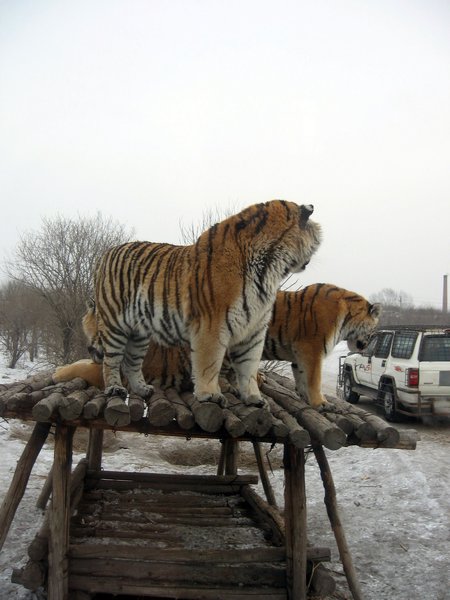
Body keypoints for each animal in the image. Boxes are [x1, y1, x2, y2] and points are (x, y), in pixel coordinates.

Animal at [54, 284, 382, 410]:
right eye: (376, 330)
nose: (369, 345)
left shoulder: (303, 354)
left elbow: (303, 378)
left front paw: (308, 399)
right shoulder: (311, 349)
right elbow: (311, 379)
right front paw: (319, 402)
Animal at [86, 203, 322, 408]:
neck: (271, 269)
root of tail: (107, 252)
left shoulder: (253, 330)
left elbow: (249, 367)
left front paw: (254, 398)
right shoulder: (212, 324)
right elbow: (209, 364)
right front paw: (210, 395)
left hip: (139, 332)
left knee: (131, 362)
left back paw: (142, 389)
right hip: (115, 323)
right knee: (111, 361)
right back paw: (114, 388)